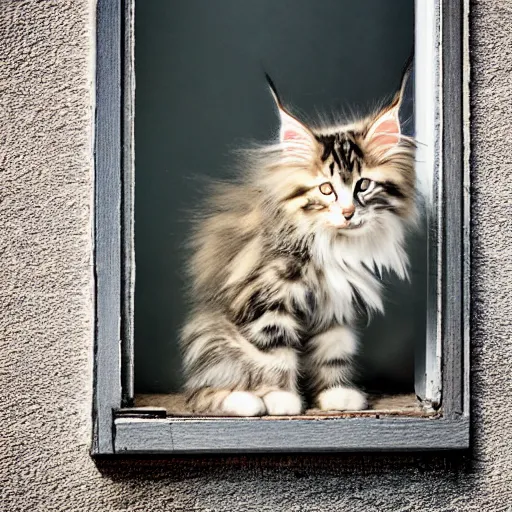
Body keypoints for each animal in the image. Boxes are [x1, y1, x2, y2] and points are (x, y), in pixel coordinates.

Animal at [180, 72, 416, 416]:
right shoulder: (266, 300)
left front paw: (335, 394)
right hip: (214, 338)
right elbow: (275, 354)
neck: (330, 244)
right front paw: (280, 398)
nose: (348, 213)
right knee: (206, 391)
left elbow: (333, 351)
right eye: (326, 189)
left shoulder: (334, 304)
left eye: (363, 186)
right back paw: (248, 401)